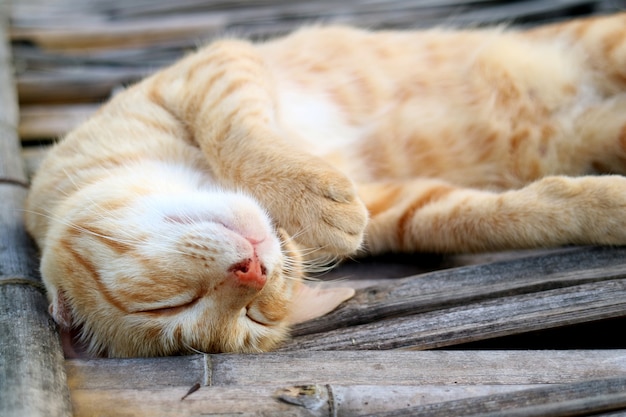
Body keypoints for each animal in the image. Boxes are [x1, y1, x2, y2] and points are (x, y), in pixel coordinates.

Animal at [24, 14, 626, 356]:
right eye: (255, 315)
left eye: (165, 305)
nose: (255, 271)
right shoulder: (400, 207)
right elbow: (497, 215)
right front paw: (609, 206)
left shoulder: (216, 68)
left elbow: (235, 133)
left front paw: (303, 192)